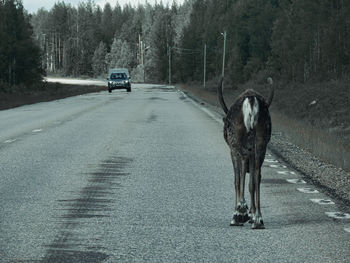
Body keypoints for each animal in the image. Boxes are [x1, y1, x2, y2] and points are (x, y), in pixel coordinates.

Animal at [219, 77, 274, 230]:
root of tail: (251, 100)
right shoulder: (253, 154)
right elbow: (252, 183)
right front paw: (252, 214)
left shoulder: (232, 151)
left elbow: (237, 180)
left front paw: (243, 212)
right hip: (261, 143)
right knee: (257, 176)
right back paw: (258, 220)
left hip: (238, 143)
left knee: (243, 169)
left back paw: (239, 213)